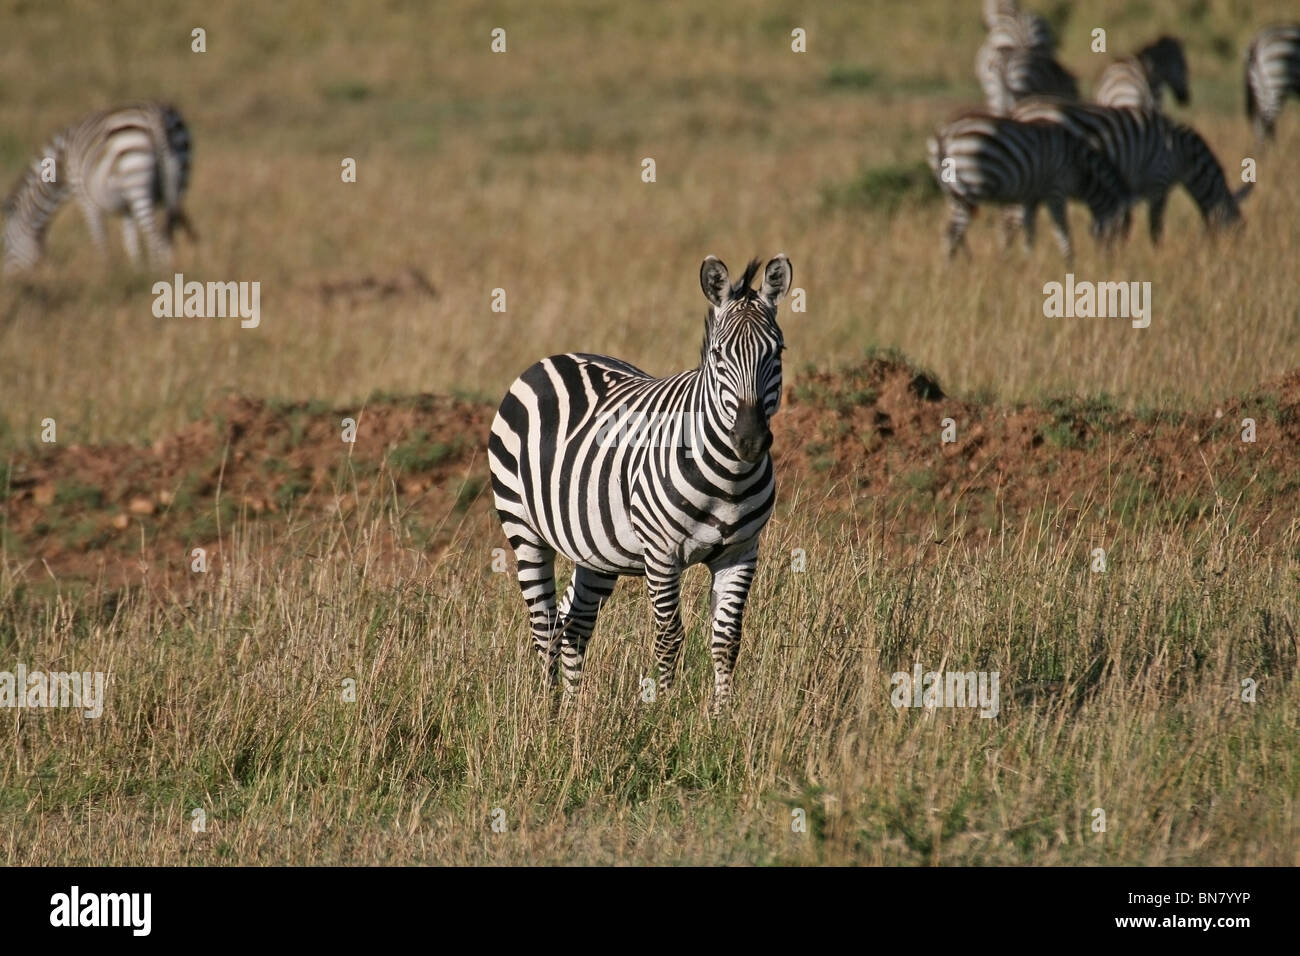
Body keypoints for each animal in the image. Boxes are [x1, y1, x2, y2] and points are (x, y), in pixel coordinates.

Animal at [1, 103, 192, 274]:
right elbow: (130, 240)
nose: (9, 280)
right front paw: (136, 271)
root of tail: (154, 117)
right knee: (169, 231)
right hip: (177, 180)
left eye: (4, 245)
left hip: (135, 177)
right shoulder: (127, 207)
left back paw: (157, 272)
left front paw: (106, 273)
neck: (61, 165)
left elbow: (100, 238)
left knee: (155, 235)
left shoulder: (85, 198)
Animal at [488, 254, 790, 712]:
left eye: (777, 352)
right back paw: (549, 712)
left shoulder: (741, 552)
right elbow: (669, 638)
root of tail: (552, 359)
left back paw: (573, 714)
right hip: (523, 528)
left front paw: (722, 717)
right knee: (544, 627)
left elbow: (727, 640)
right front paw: (664, 714)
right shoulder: (662, 554)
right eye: (719, 355)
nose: (750, 440)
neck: (729, 480)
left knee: (574, 624)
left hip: (595, 548)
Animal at [925, 111, 1128, 261]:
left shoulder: (1031, 196)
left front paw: (1026, 264)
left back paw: (968, 264)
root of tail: (944, 134)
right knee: (952, 234)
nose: (1109, 264)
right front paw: (1070, 264)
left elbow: (1030, 233)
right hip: (971, 187)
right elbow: (1062, 231)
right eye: (1115, 235)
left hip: (954, 192)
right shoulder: (1056, 189)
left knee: (956, 233)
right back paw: (950, 270)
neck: (1080, 165)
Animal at [1008, 98, 1253, 243]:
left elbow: (1124, 224)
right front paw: (1156, 256)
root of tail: (1018, 111)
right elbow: (1156, 226)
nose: (1230, 256)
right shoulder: (1159, 179)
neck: (1183, 155)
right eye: (1236, 232)